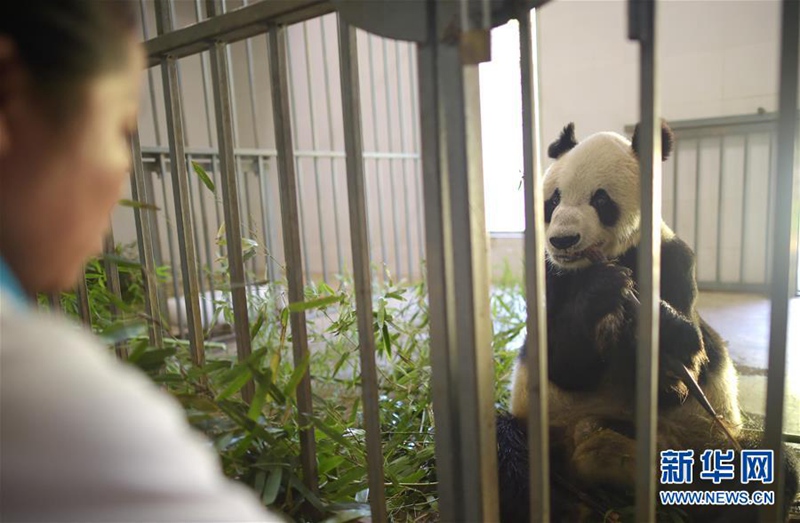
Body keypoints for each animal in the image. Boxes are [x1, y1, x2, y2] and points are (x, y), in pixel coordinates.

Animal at [495, 121, 799, 522]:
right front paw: (604, 289)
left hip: (701, 440)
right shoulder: (550, 275)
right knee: (506, 452)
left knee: (766, 463)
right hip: (546, 434)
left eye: (601, 200)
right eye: (553, 201)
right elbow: (561, 362)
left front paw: (663, 340)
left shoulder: (673, 260)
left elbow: (685, 365)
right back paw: (569, 508)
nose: (563, 240)